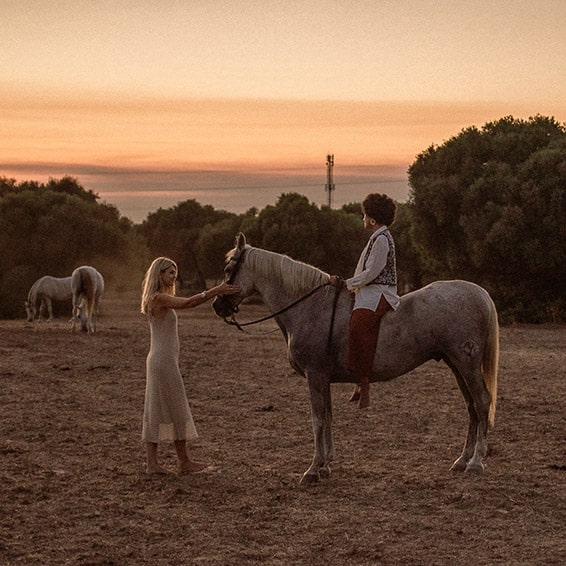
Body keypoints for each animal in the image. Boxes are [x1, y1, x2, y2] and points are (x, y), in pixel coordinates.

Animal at [214, 233, 502, 486]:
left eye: (228, 268)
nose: (217, 306)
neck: (310, 307)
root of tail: (480, 293)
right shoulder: (324, 378)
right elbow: (328, 417)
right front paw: (325, 464)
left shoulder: (315, 376)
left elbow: (317, 420)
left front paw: (313, 469)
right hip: (456, 365)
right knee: (471, 407)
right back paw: (462, 460)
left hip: (466, 364)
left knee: (481, 402)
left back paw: (476, 462)